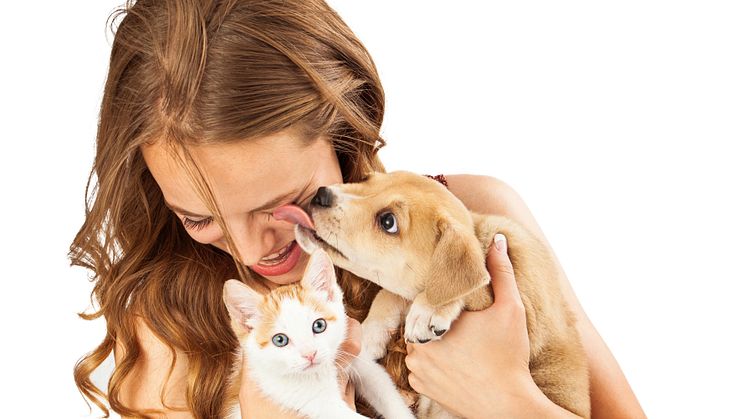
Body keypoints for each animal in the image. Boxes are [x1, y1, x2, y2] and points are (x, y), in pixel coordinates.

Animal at [224, 249, 416, 419]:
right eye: (280, 340)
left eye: (319, 325)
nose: (310, 354)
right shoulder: (305, 399)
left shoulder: (359, 361)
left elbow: (385, 391)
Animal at [290, 171, 588, 419]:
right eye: (367, 180)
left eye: (388, 222)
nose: (321, 194)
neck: (479, 234)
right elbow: (390, 293)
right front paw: (372, 332)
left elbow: (462, 286)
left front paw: (429, 311)